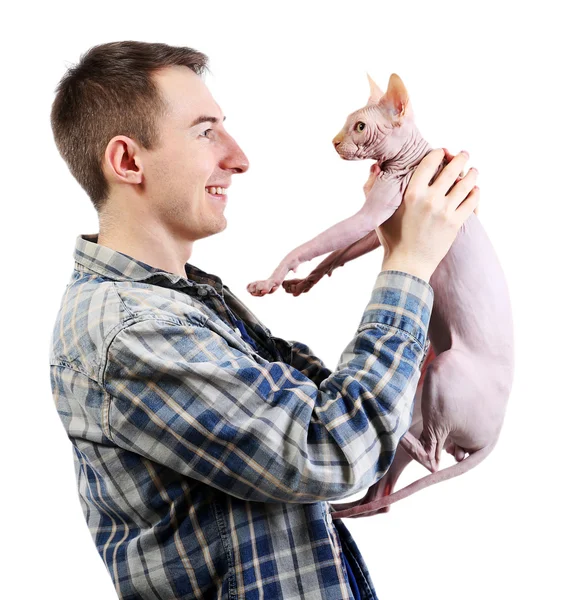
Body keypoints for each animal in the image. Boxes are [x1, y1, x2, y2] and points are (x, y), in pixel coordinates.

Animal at [245, 72, 512, 516]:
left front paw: (271, 279)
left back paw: (399, 432)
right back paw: (354, 503)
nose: (334, 142)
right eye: (346, 123)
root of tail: (496, 429)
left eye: (359, 127)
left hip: (446, 369)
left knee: (431, 456)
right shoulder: (379, 226)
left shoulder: (380, 208)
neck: (409, 160)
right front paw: (304, 282)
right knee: (387, 491)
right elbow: (338, 252)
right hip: (424, 395)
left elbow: (317, 243)